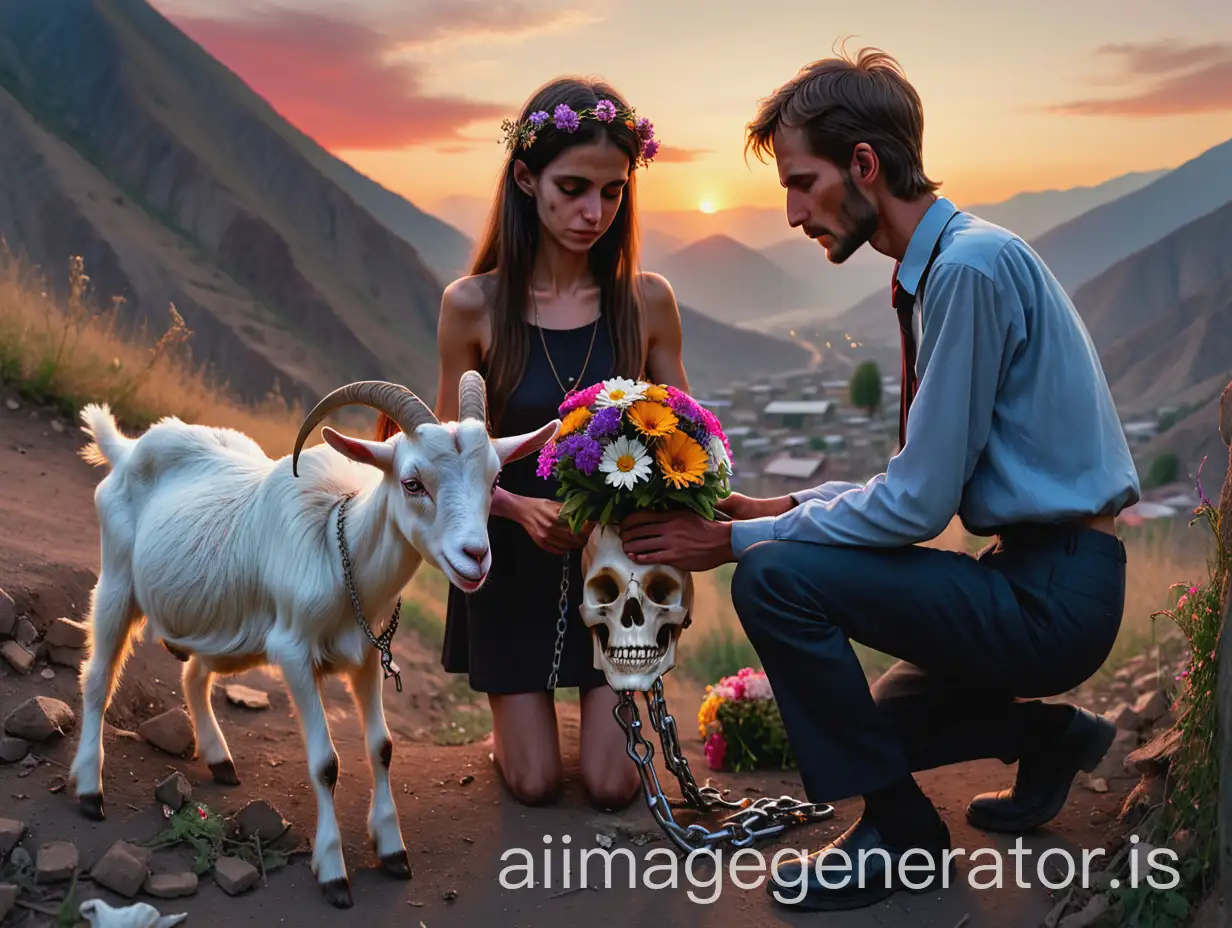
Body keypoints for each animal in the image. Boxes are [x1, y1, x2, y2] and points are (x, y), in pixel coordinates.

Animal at [69, 372, 561, 907]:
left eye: (493, 481)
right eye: (412, 483)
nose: (475, 557)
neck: (337, 546)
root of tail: (128, 448)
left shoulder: (367, 656)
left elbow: (382, 747)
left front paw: (392, 849)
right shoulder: (294, 654)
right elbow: (326, 763)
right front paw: (333, 872)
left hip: (228, 632)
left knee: (194, 674)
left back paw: (219, 759)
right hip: (118, 583)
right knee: (98, 677)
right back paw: (89, 790)